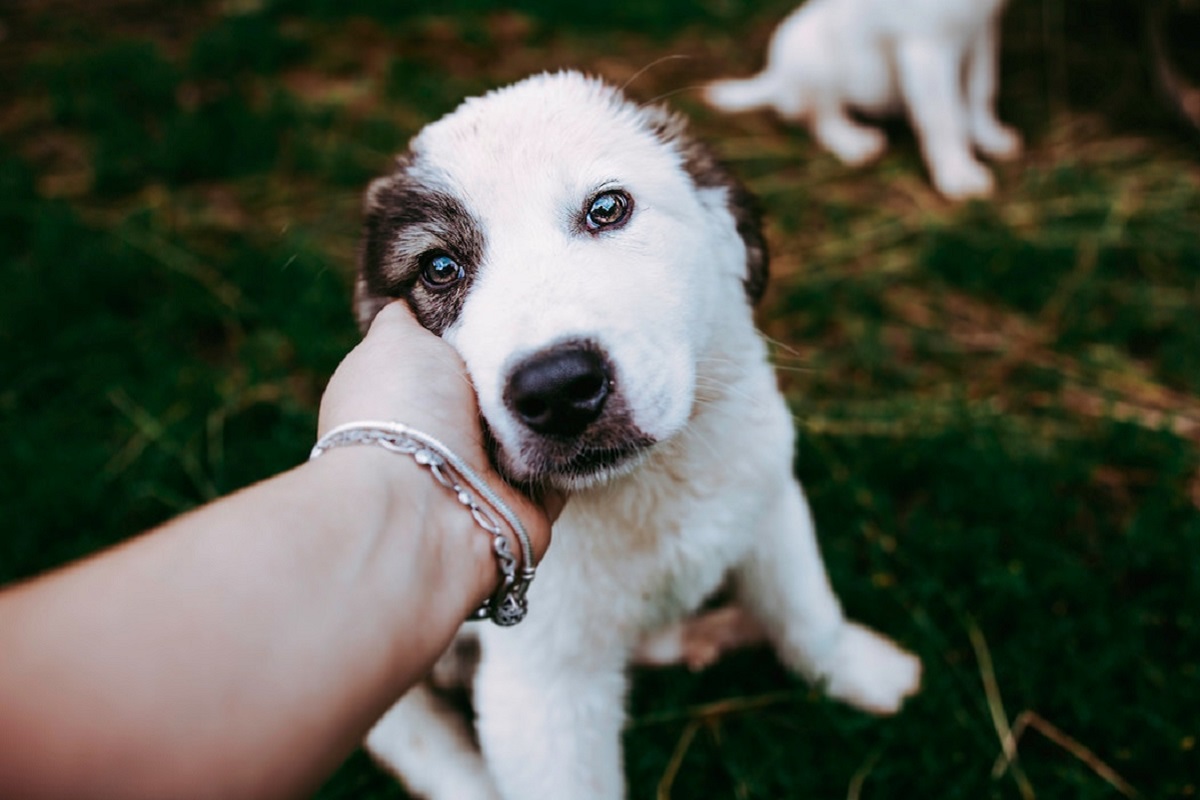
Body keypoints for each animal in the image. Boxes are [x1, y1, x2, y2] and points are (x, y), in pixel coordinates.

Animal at [352, 71, 916, 796]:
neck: (651, 484)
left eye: (607, 208)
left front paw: (860, 670)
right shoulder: (540, 689)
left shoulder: (770, 502)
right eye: (440, 268)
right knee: (426, 747)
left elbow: (806, 608)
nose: (558, 389)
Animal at [700, 0, 1022, 199]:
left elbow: (981, 89)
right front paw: (958, 173)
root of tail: (776, 78)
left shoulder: (983, 32)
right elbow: (943, 117)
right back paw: (853, 142)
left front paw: (990, 138)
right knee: (821, 117)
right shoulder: (926, 48)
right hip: (809, 55)